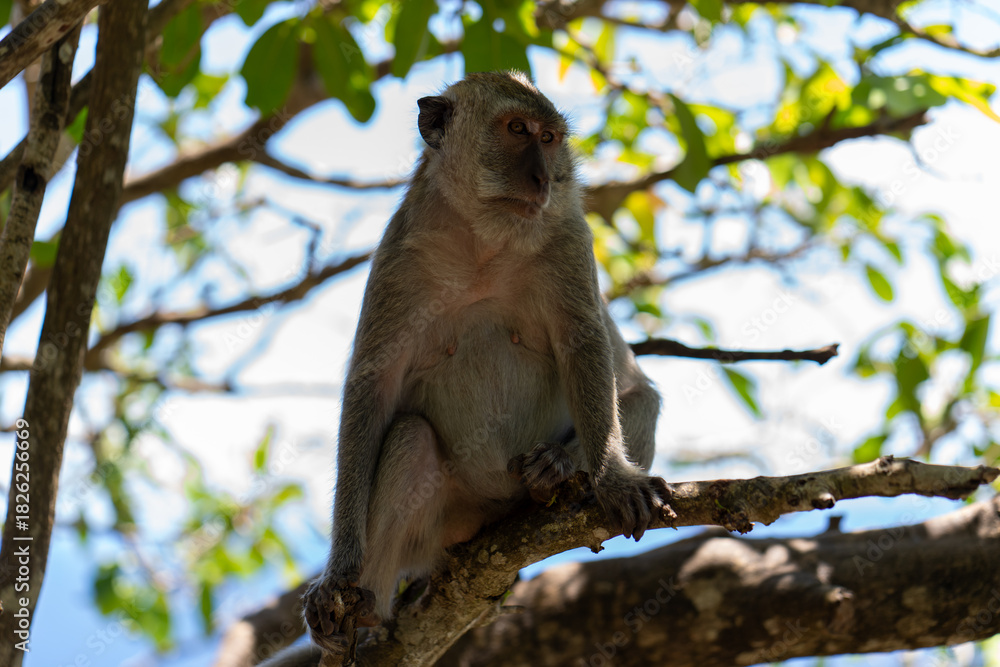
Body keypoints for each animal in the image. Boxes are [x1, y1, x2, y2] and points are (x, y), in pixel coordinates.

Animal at [264, 71, 669, 666]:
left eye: (550, 138)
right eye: (517, 129)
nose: (542, 177)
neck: (484, 240)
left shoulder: (569, 238)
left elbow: (584, 346)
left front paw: (612, 478)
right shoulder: (400, 253)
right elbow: (373, 386)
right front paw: (338, 576)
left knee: (641, 399)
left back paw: (557, 469)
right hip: (438, 525)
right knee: (409, 437)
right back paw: (369, 606)